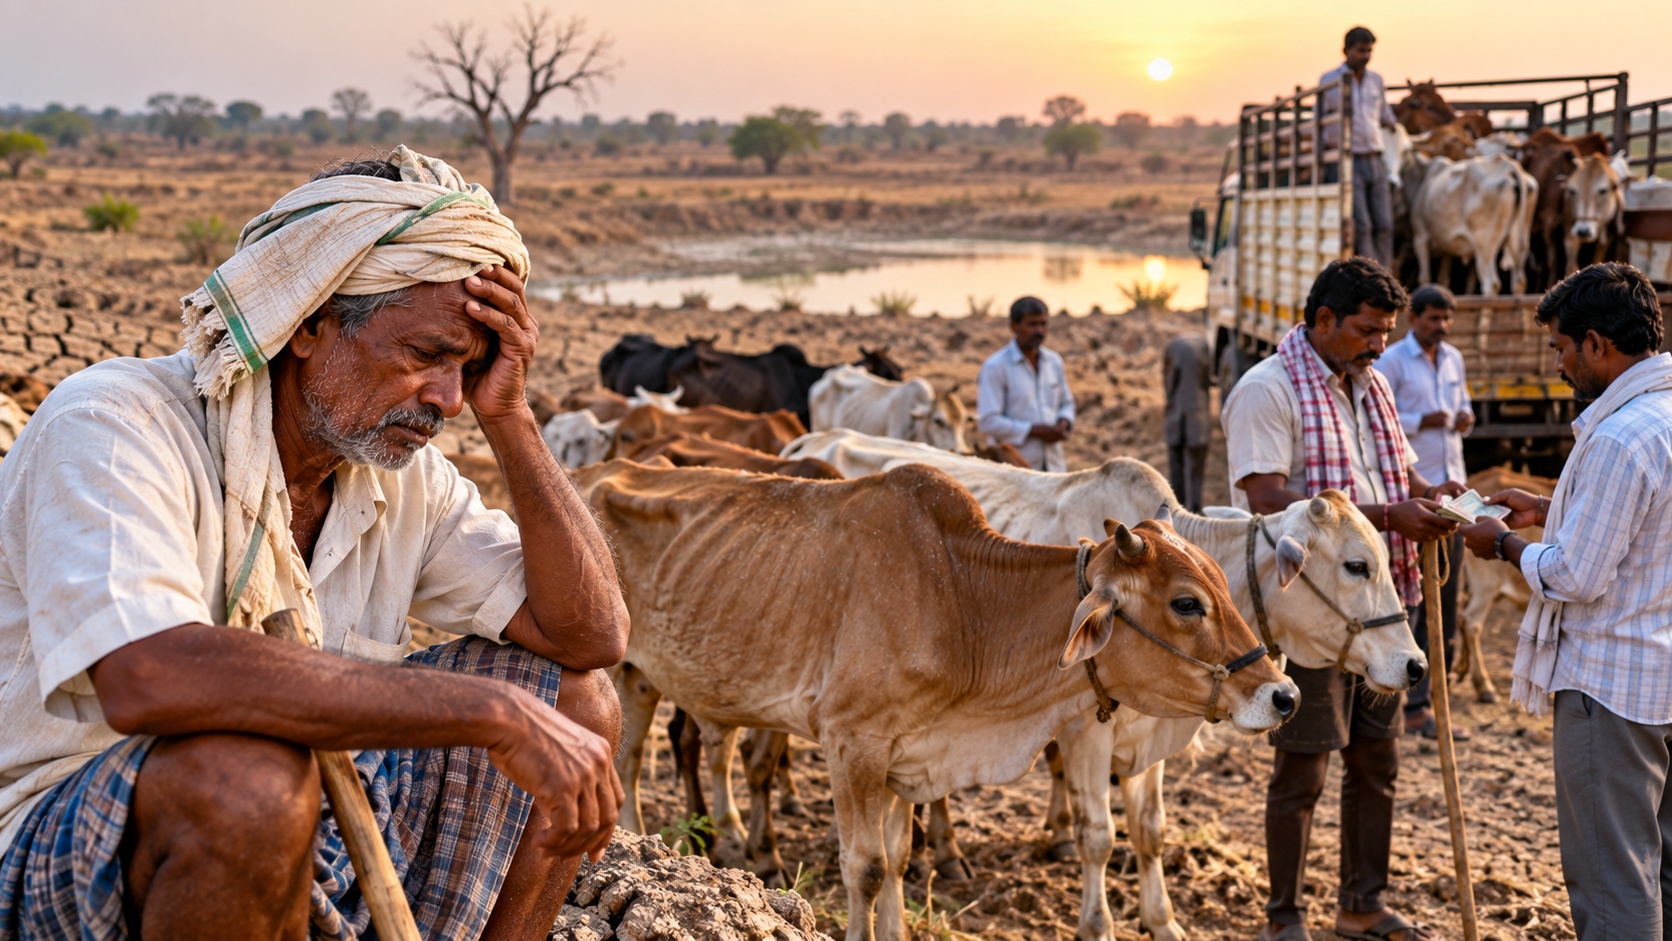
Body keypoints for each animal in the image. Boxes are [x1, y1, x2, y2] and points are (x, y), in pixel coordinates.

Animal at [574, 459, 1296, 941]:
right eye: (1186, 603)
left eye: (1221, 586)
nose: (1283, 694)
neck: (962, 601)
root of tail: (588, 471)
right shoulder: (852, 744)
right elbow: (864, 867)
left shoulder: (906, 755)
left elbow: (895, 862)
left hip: (638, 678)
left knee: (630, 760)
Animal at [784, 431, 1425, 940]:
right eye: (1357, 566)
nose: (1415, 665)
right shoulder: (1084, 733)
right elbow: (1100, 835)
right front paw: (1098, 924)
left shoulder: (1153, 732)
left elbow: (1150, 832)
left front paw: (1163, 921)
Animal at [1410, 153, 1537, 296]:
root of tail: (1508, 165)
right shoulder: (1447, 249)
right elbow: (1443, 280)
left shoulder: (1420, 238)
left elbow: (1424, 278)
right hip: (1518, 236)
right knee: (1519, 281)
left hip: (1484, 245)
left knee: (1491, 283)